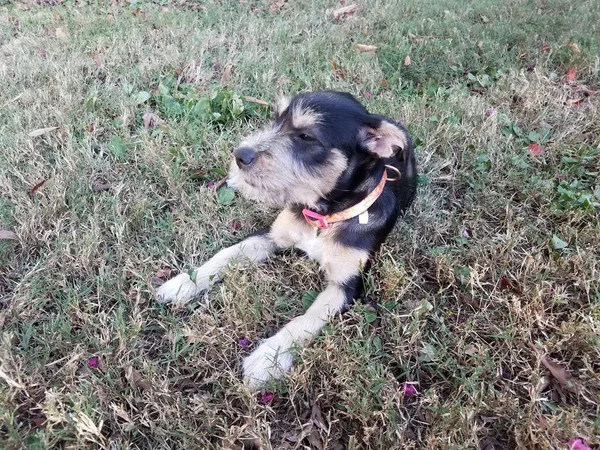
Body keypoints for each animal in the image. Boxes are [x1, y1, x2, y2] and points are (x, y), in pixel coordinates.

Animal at [157, 90, 414, 386]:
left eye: (306, 136)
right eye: (275, 119)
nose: (240, 155)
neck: (326, 214)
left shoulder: (347, 286)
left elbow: (307, 318)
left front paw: (268, 358)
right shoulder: (270, 236)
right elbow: (226, 254)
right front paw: (182, 284)